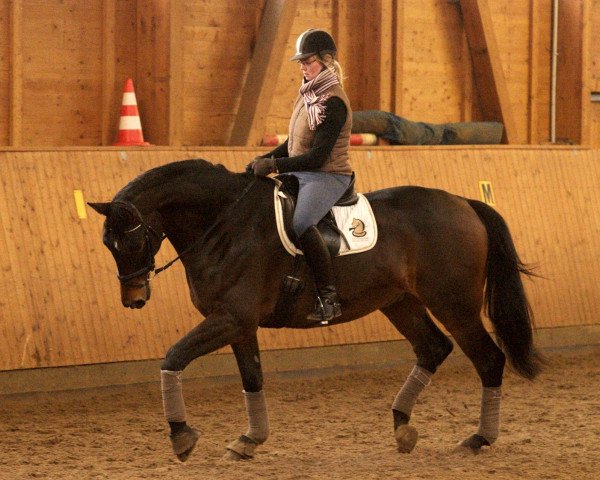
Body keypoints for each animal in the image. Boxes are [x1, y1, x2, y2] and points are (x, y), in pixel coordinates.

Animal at [88, 159, 540, 464]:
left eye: (130, 241)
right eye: (107, 245)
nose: (133, 298)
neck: (225, 224)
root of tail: (463, 202)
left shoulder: (230, 319)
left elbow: (173, 357)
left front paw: (181, 436)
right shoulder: (239, 325)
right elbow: (252, 377)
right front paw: (249, 440)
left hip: (453, 303)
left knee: (488, 358)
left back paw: (478, 439)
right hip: (399, 302)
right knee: (432, 349)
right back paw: (402, 426)